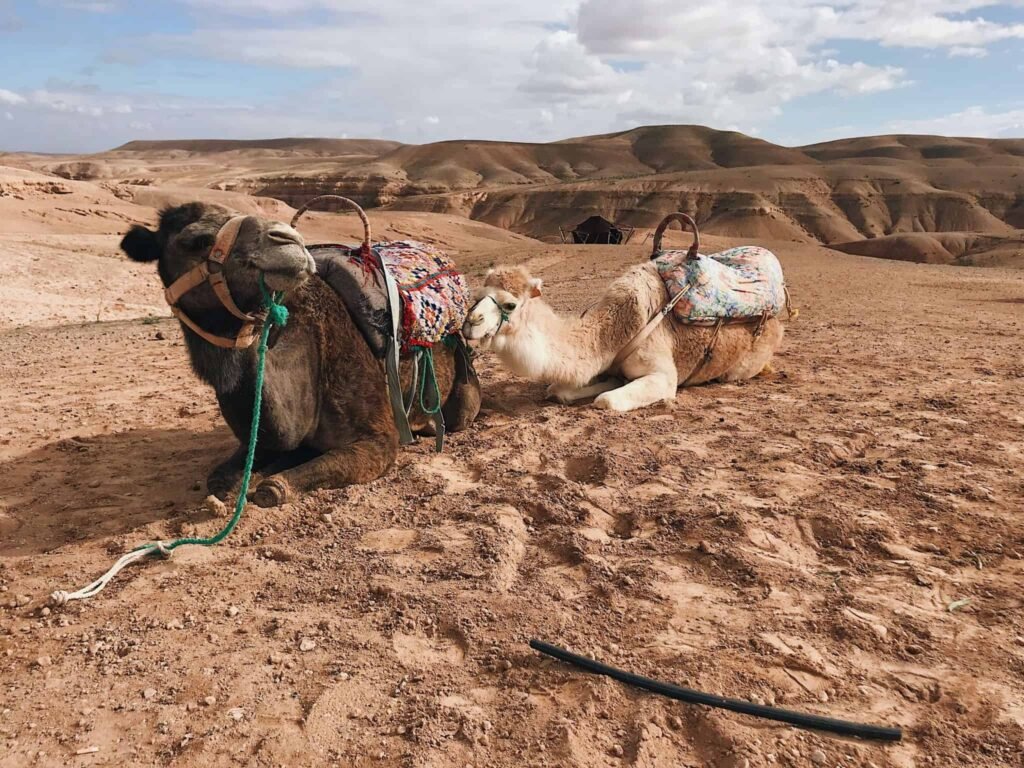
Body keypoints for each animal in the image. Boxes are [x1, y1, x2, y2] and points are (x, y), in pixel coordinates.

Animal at [121, 201, 481, 507]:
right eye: (197, 240)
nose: (287, 240)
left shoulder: (379, 439)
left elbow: (273, 489)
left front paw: (269, 481)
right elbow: (221, 480)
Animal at [466, 222, 790, 411]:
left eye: (510, 305)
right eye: (477, 295)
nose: (471, 322)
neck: (617, 328)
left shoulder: (664, 376)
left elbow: (607, 401)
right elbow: (558, 390)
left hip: (744, 364)